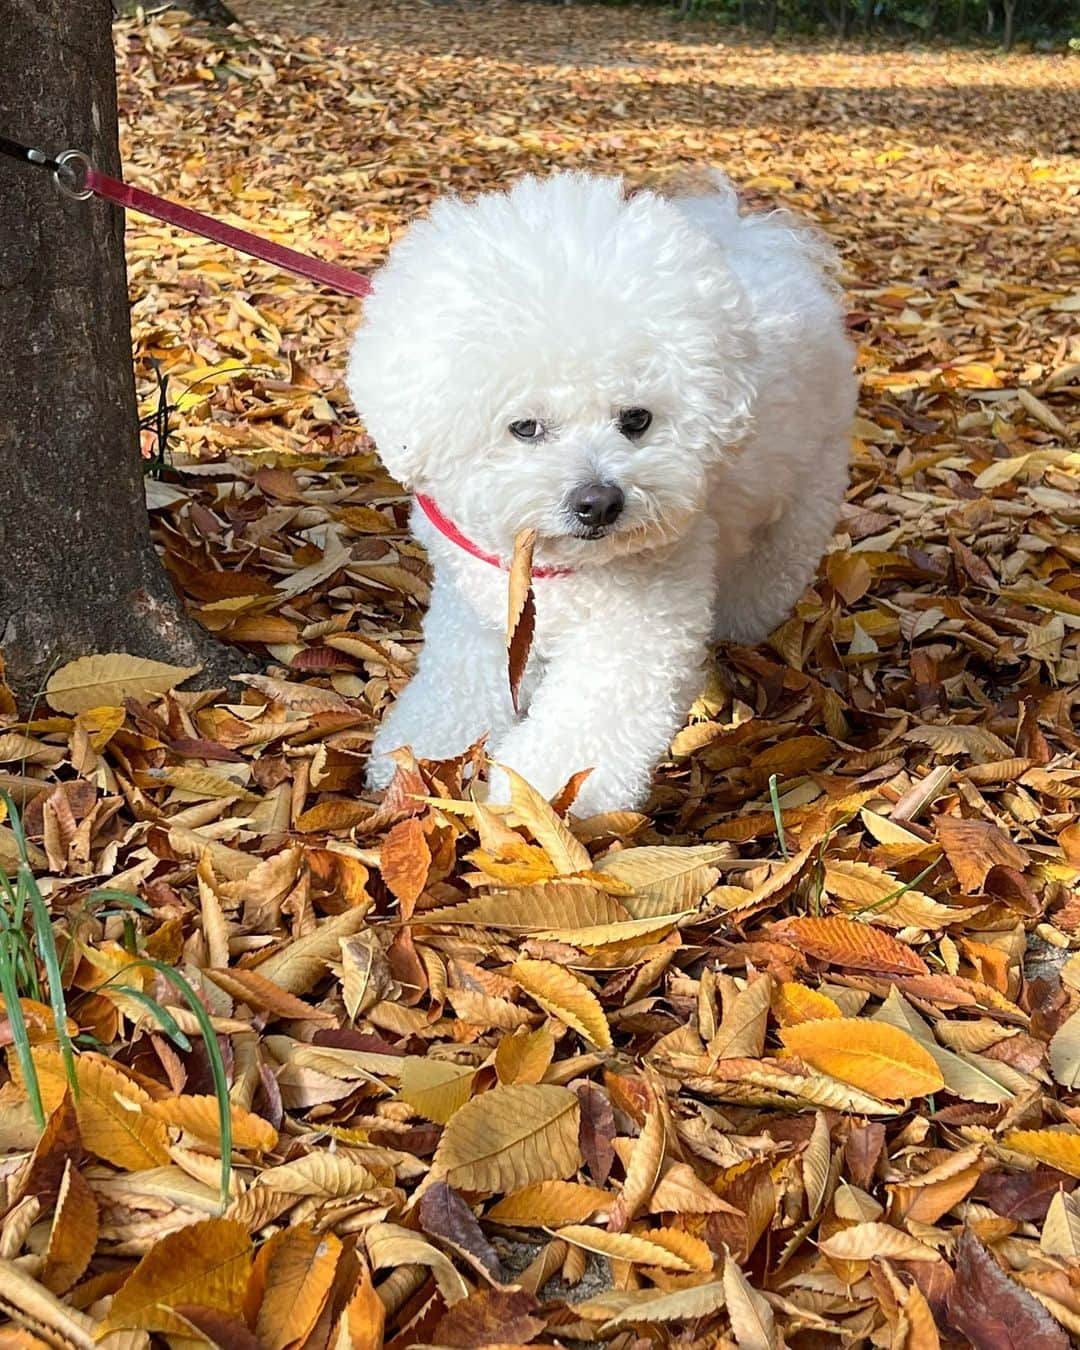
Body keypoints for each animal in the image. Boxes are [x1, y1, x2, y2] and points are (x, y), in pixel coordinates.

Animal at [351, 174, 858, 815]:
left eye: (636, 419)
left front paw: (536, 796)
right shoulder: (480, 609)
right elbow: (457, 683)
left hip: (803, 497)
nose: (599, 502)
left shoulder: (634, 633)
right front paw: (423, 753)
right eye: (524, 427)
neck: (551, 565)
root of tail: (759, 237)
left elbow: (587, 727)